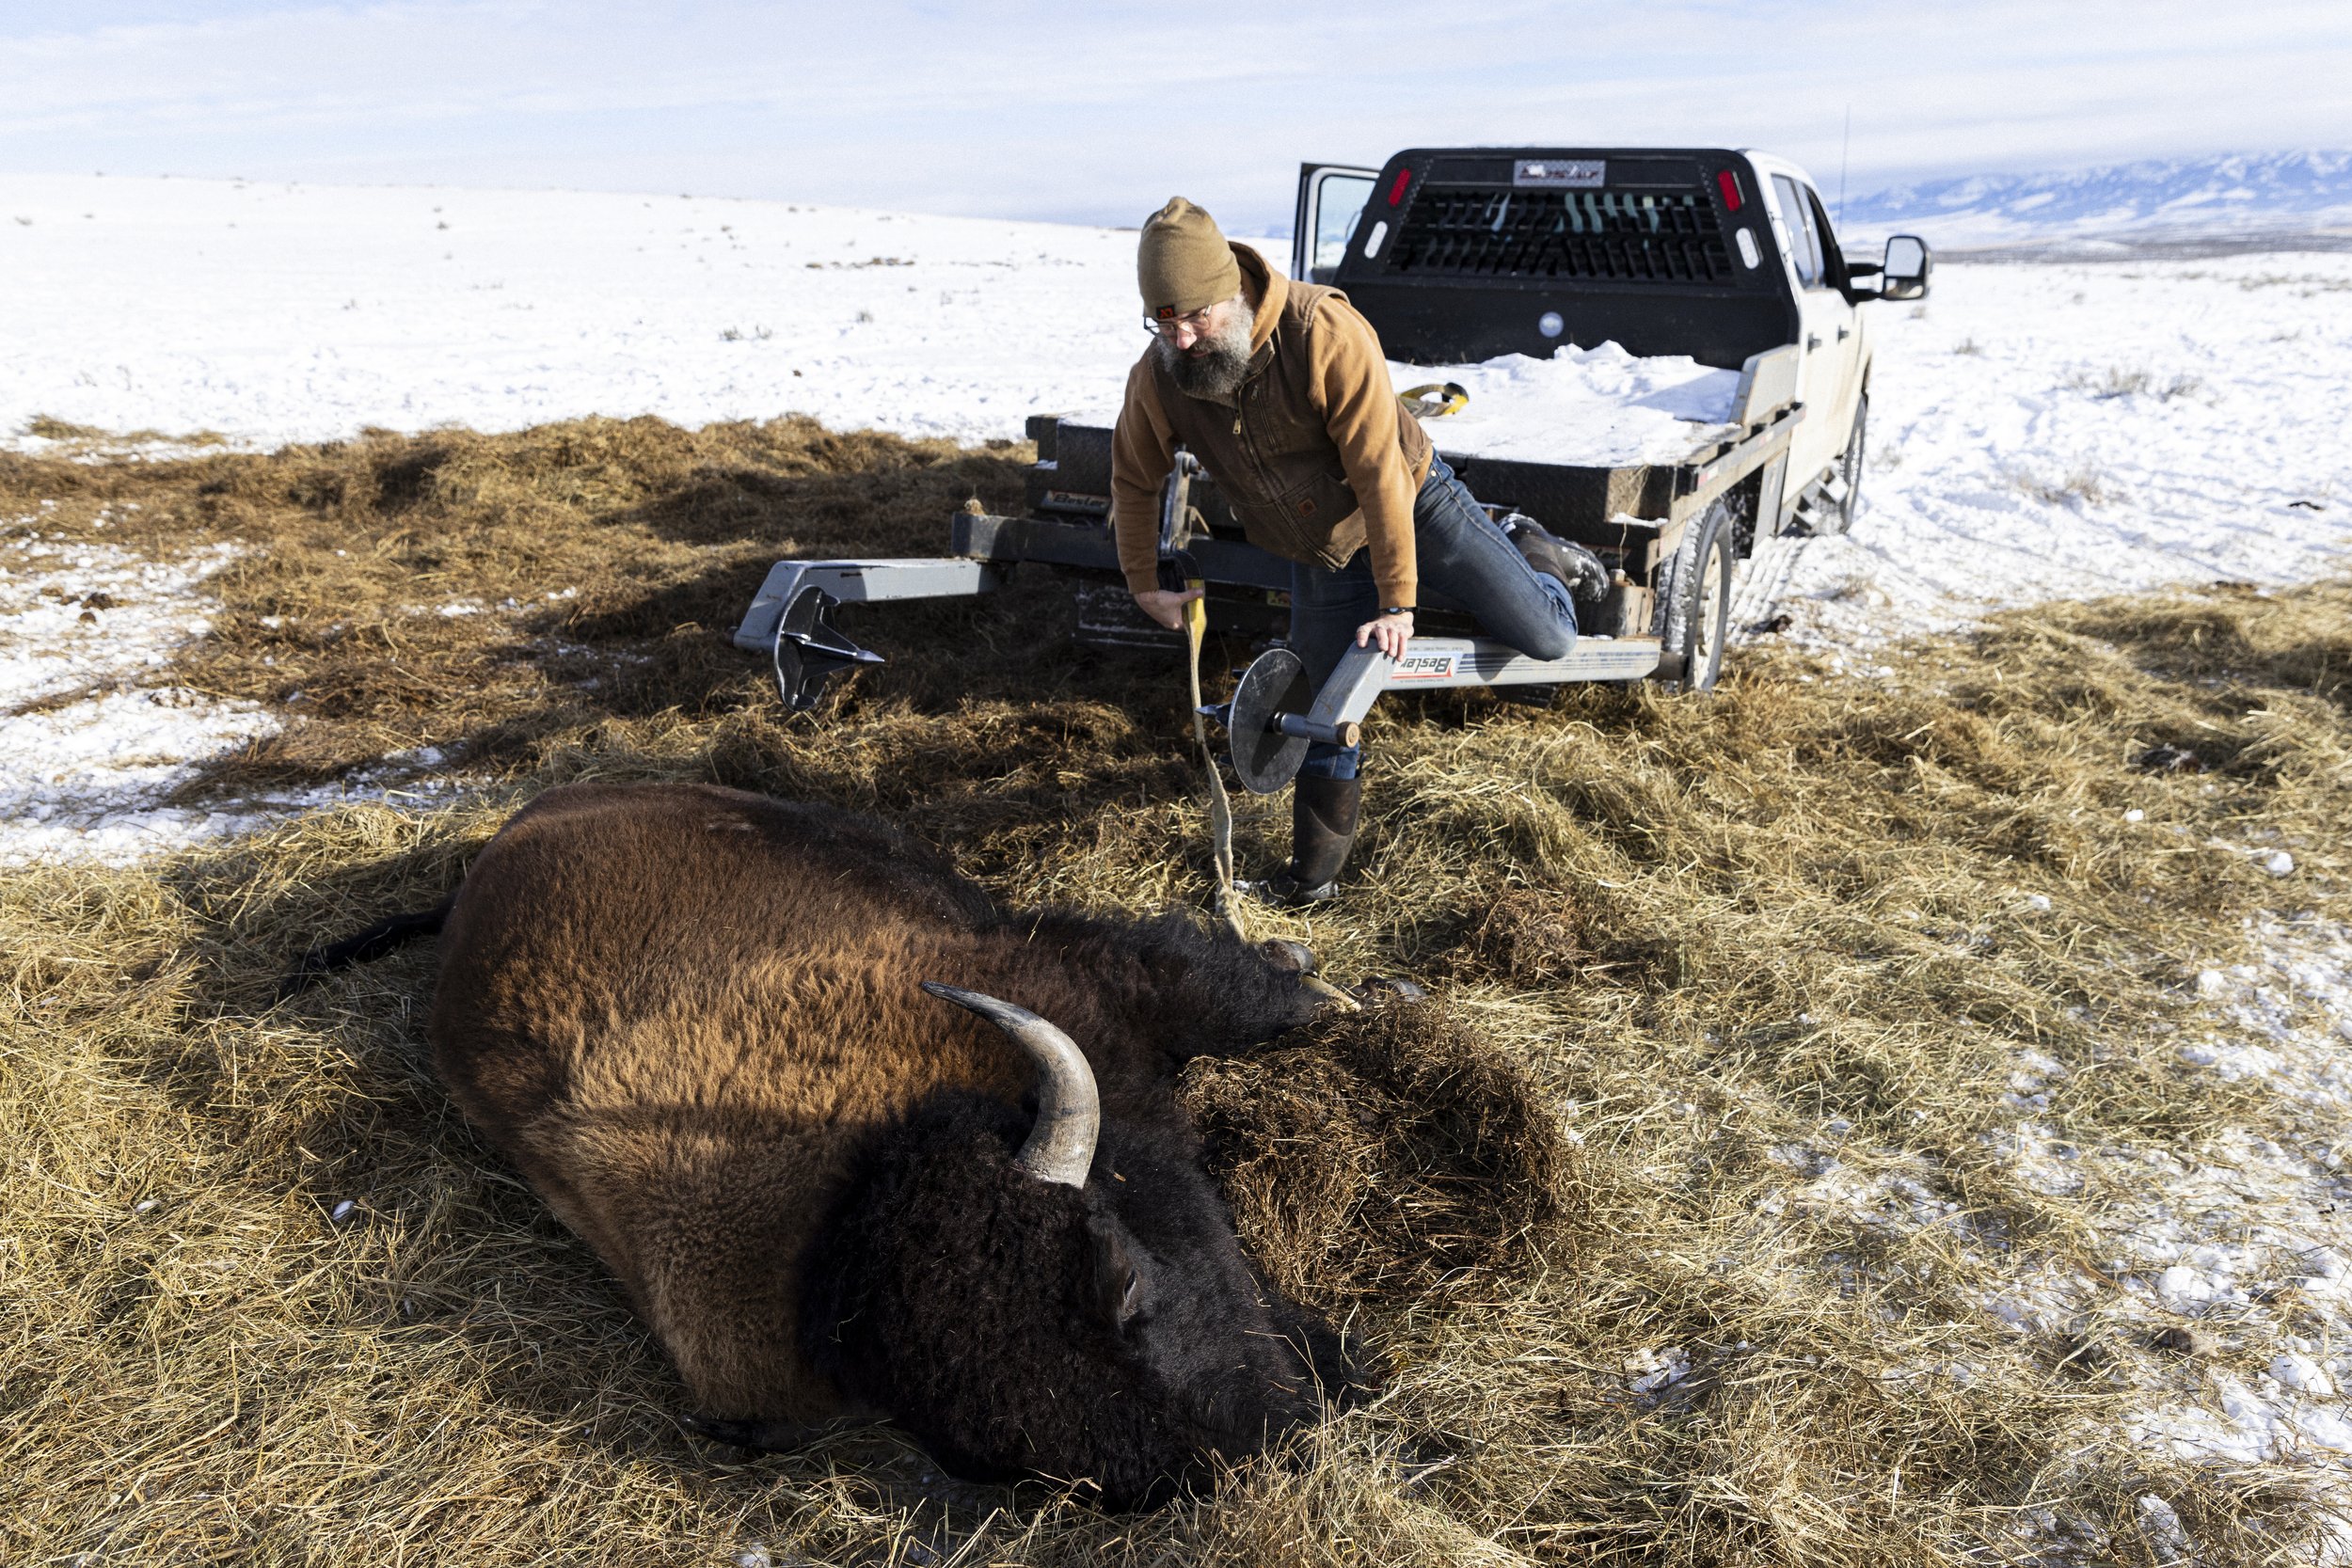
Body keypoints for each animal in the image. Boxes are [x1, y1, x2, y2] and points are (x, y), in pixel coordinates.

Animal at [290, 780, 1375, 1507]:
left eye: (1126, 1284)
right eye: (1019, 1461)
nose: (1276, 1440)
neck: (854, 1183)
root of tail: (510, 839)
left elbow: (1243, 996)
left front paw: (1325, 983)